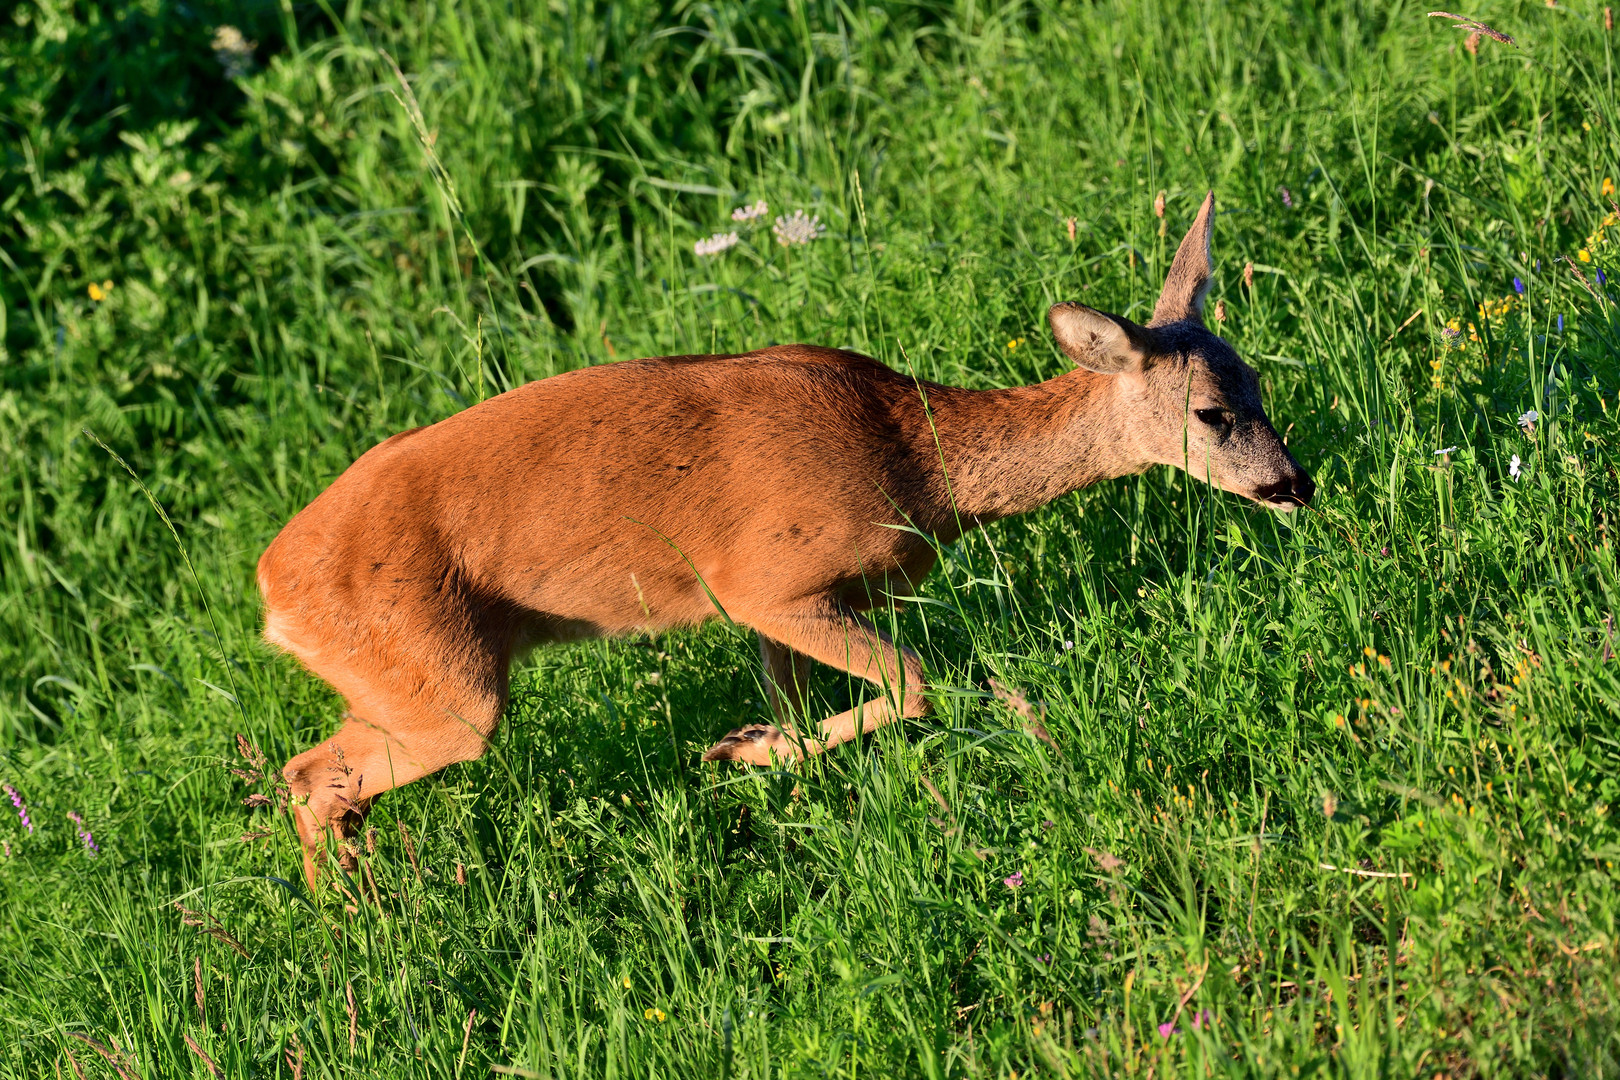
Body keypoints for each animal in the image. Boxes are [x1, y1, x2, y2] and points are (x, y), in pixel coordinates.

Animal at [259, 191, 1308, 887]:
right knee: (307, 775)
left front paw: (762, 757)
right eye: (1212, 414)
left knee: (316, 776)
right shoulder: (767, 581)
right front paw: (737, 753)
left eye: (1257, 382)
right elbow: (916, 683)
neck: (915, 466)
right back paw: (350, 918)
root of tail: (271, 590)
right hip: (443, 682)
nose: (1294, 484)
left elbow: (808, 705)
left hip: (409, 680)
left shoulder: (798, 607)